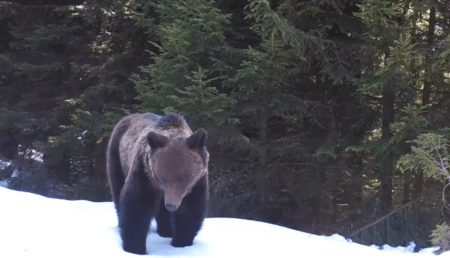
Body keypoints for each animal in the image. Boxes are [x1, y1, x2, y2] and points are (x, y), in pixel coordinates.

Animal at [106, 113, 209, 254]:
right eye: (163, 177)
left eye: (182, 178)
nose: (171, 205)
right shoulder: (145, 173)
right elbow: (137, 205)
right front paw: (135, 247)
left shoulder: (197, 182)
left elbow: (190, 210)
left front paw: (181, 242)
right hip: (117, 156)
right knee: (117, 191)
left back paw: (167, 230)